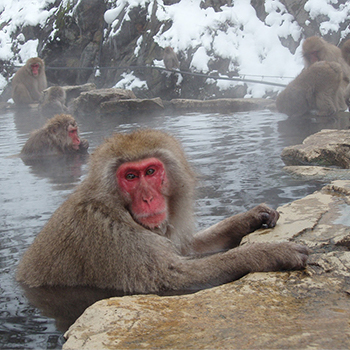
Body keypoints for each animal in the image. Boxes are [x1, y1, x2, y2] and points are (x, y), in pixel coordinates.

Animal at [16, 129, 308, 292]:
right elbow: (173, 278)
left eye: (151, 171)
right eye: (130, 177)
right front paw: (268, 253)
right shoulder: (110, 235)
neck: (115, 206)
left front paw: (250, 217)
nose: (148, 198)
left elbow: (188, 248)